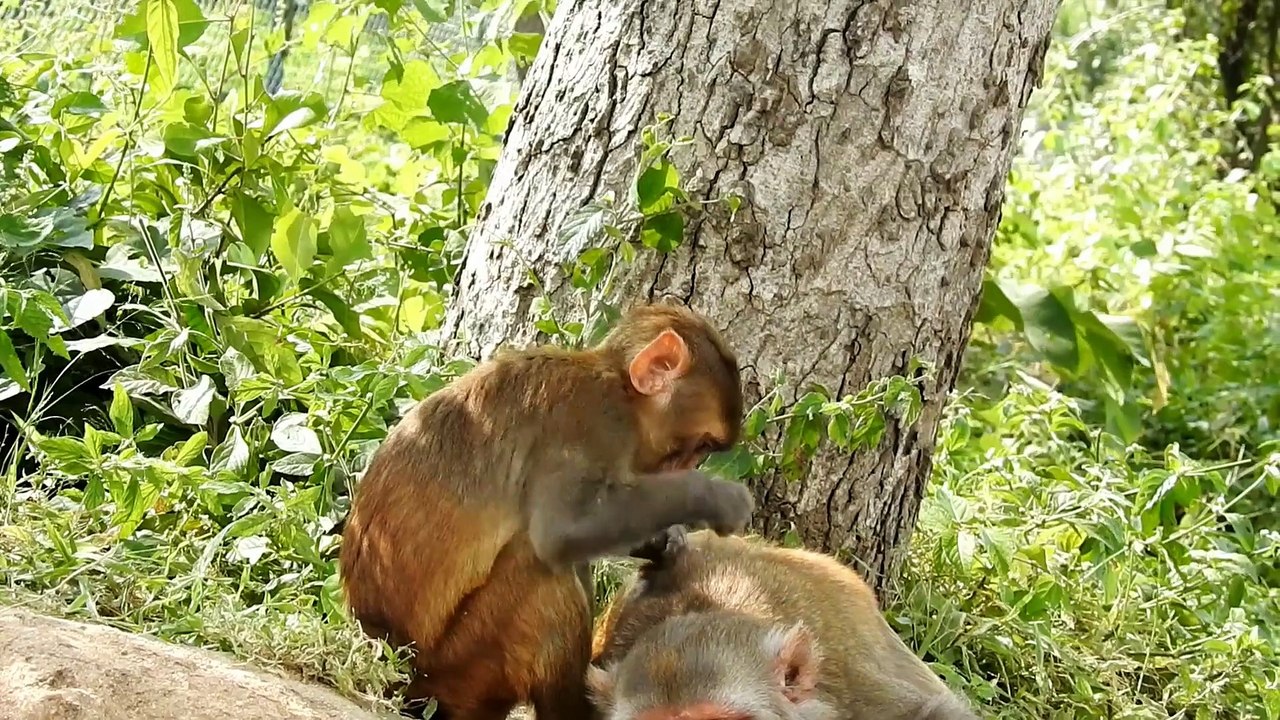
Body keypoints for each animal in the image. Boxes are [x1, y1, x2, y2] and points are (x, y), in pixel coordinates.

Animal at [338, 304, 755, 720]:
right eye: (699, 446)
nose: (688, 468)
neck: (618, 387)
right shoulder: (590, 419)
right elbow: (564, 530)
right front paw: (714, 496)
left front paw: (664, 540)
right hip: (452, 671)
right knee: (542, 572)